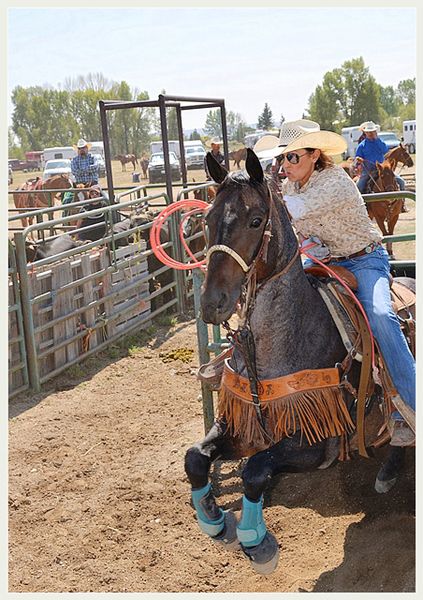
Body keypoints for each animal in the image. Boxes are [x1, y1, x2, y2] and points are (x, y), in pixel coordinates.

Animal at [184, 150, 412, 576]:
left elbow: (255, 471)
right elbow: (195, 457)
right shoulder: (241, 425)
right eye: (206, 219)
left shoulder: (317, 444)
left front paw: (257, 542)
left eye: (256, 220)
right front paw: (214, 521)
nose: (212, 303)